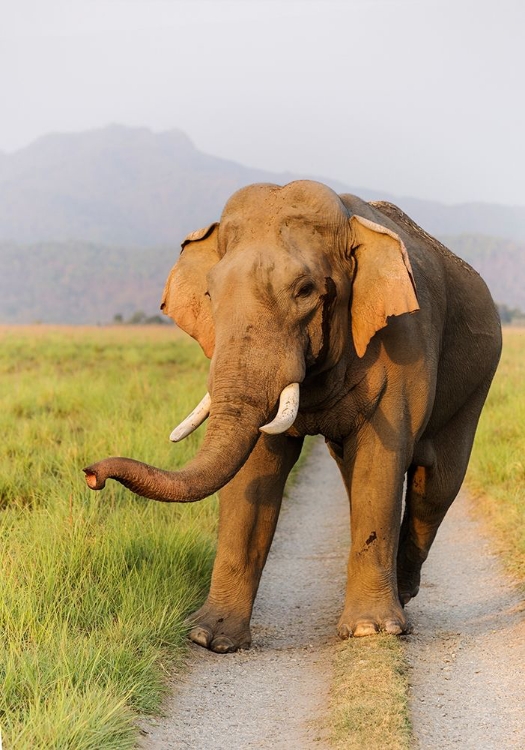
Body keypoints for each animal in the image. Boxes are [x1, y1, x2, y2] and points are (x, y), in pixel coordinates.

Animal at [84, 181, 502, 652]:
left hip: (478, 378)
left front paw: (369, 631)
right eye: (210, 293)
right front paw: (209, 638)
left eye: (304, 290)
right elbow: (254, 473)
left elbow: (381, 461)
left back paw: (404, 595)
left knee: (436, 486)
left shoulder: (404, 341)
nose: (92, 475)